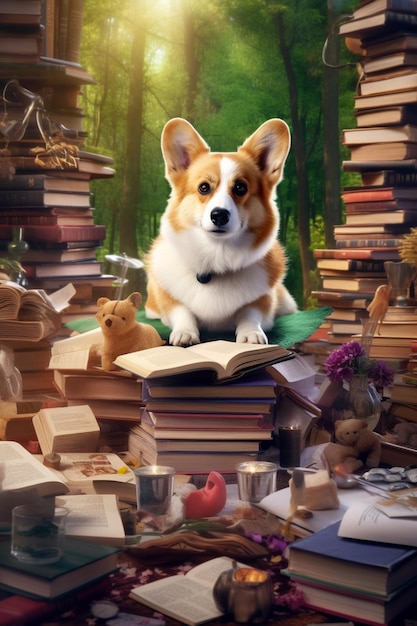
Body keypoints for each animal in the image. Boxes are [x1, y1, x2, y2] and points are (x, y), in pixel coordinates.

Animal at [145, 117, 298, 346]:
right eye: (204, 188)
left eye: (241, 187)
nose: (219, 215)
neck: (217, 256)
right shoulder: (167, 298)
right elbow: (181, 310)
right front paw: (184, 333)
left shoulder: (264, 300)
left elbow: (250, 313)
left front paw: (251, 334)